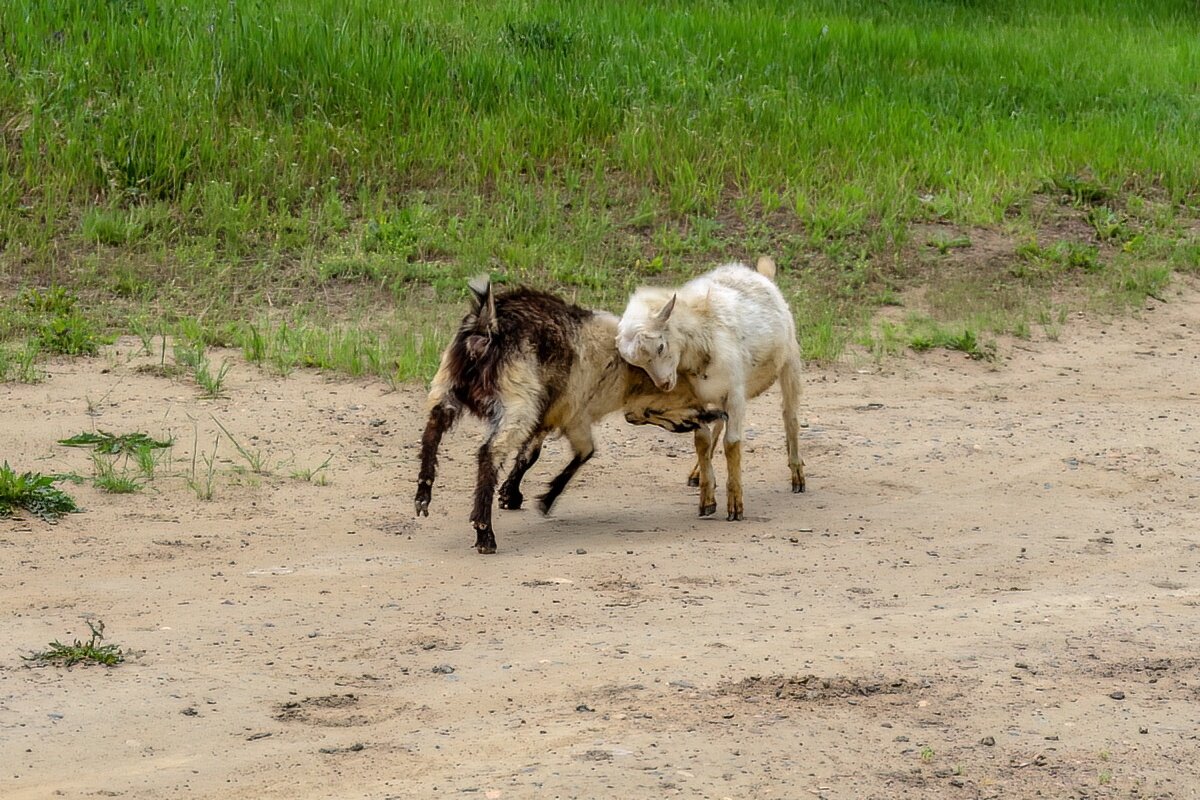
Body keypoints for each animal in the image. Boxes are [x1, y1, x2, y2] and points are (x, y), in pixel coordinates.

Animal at [412, 278, 720, 554]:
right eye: (669, 404)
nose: (707, 416)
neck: (626, 370)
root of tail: (488, 323)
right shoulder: (575, 414)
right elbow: (584, 452)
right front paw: (545, 500)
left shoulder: (548, 411)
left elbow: (529, 454)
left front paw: (511, 495)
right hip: (516, 400)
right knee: (489, 452)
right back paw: (485, 534)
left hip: (448, 383)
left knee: (433, 427)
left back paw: (423, 494)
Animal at [619, 256, 806, 520]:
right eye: (636, 363)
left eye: (660, 347)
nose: (664, 384)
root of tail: (760, 274)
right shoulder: (698, 399)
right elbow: (702, 441)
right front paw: (707, 499)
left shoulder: (736, 394)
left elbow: (732, 444)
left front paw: (735, 504)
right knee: (719, 422)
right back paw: (697, 473)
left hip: (790, 362)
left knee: (790, 417)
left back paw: (797, 475)